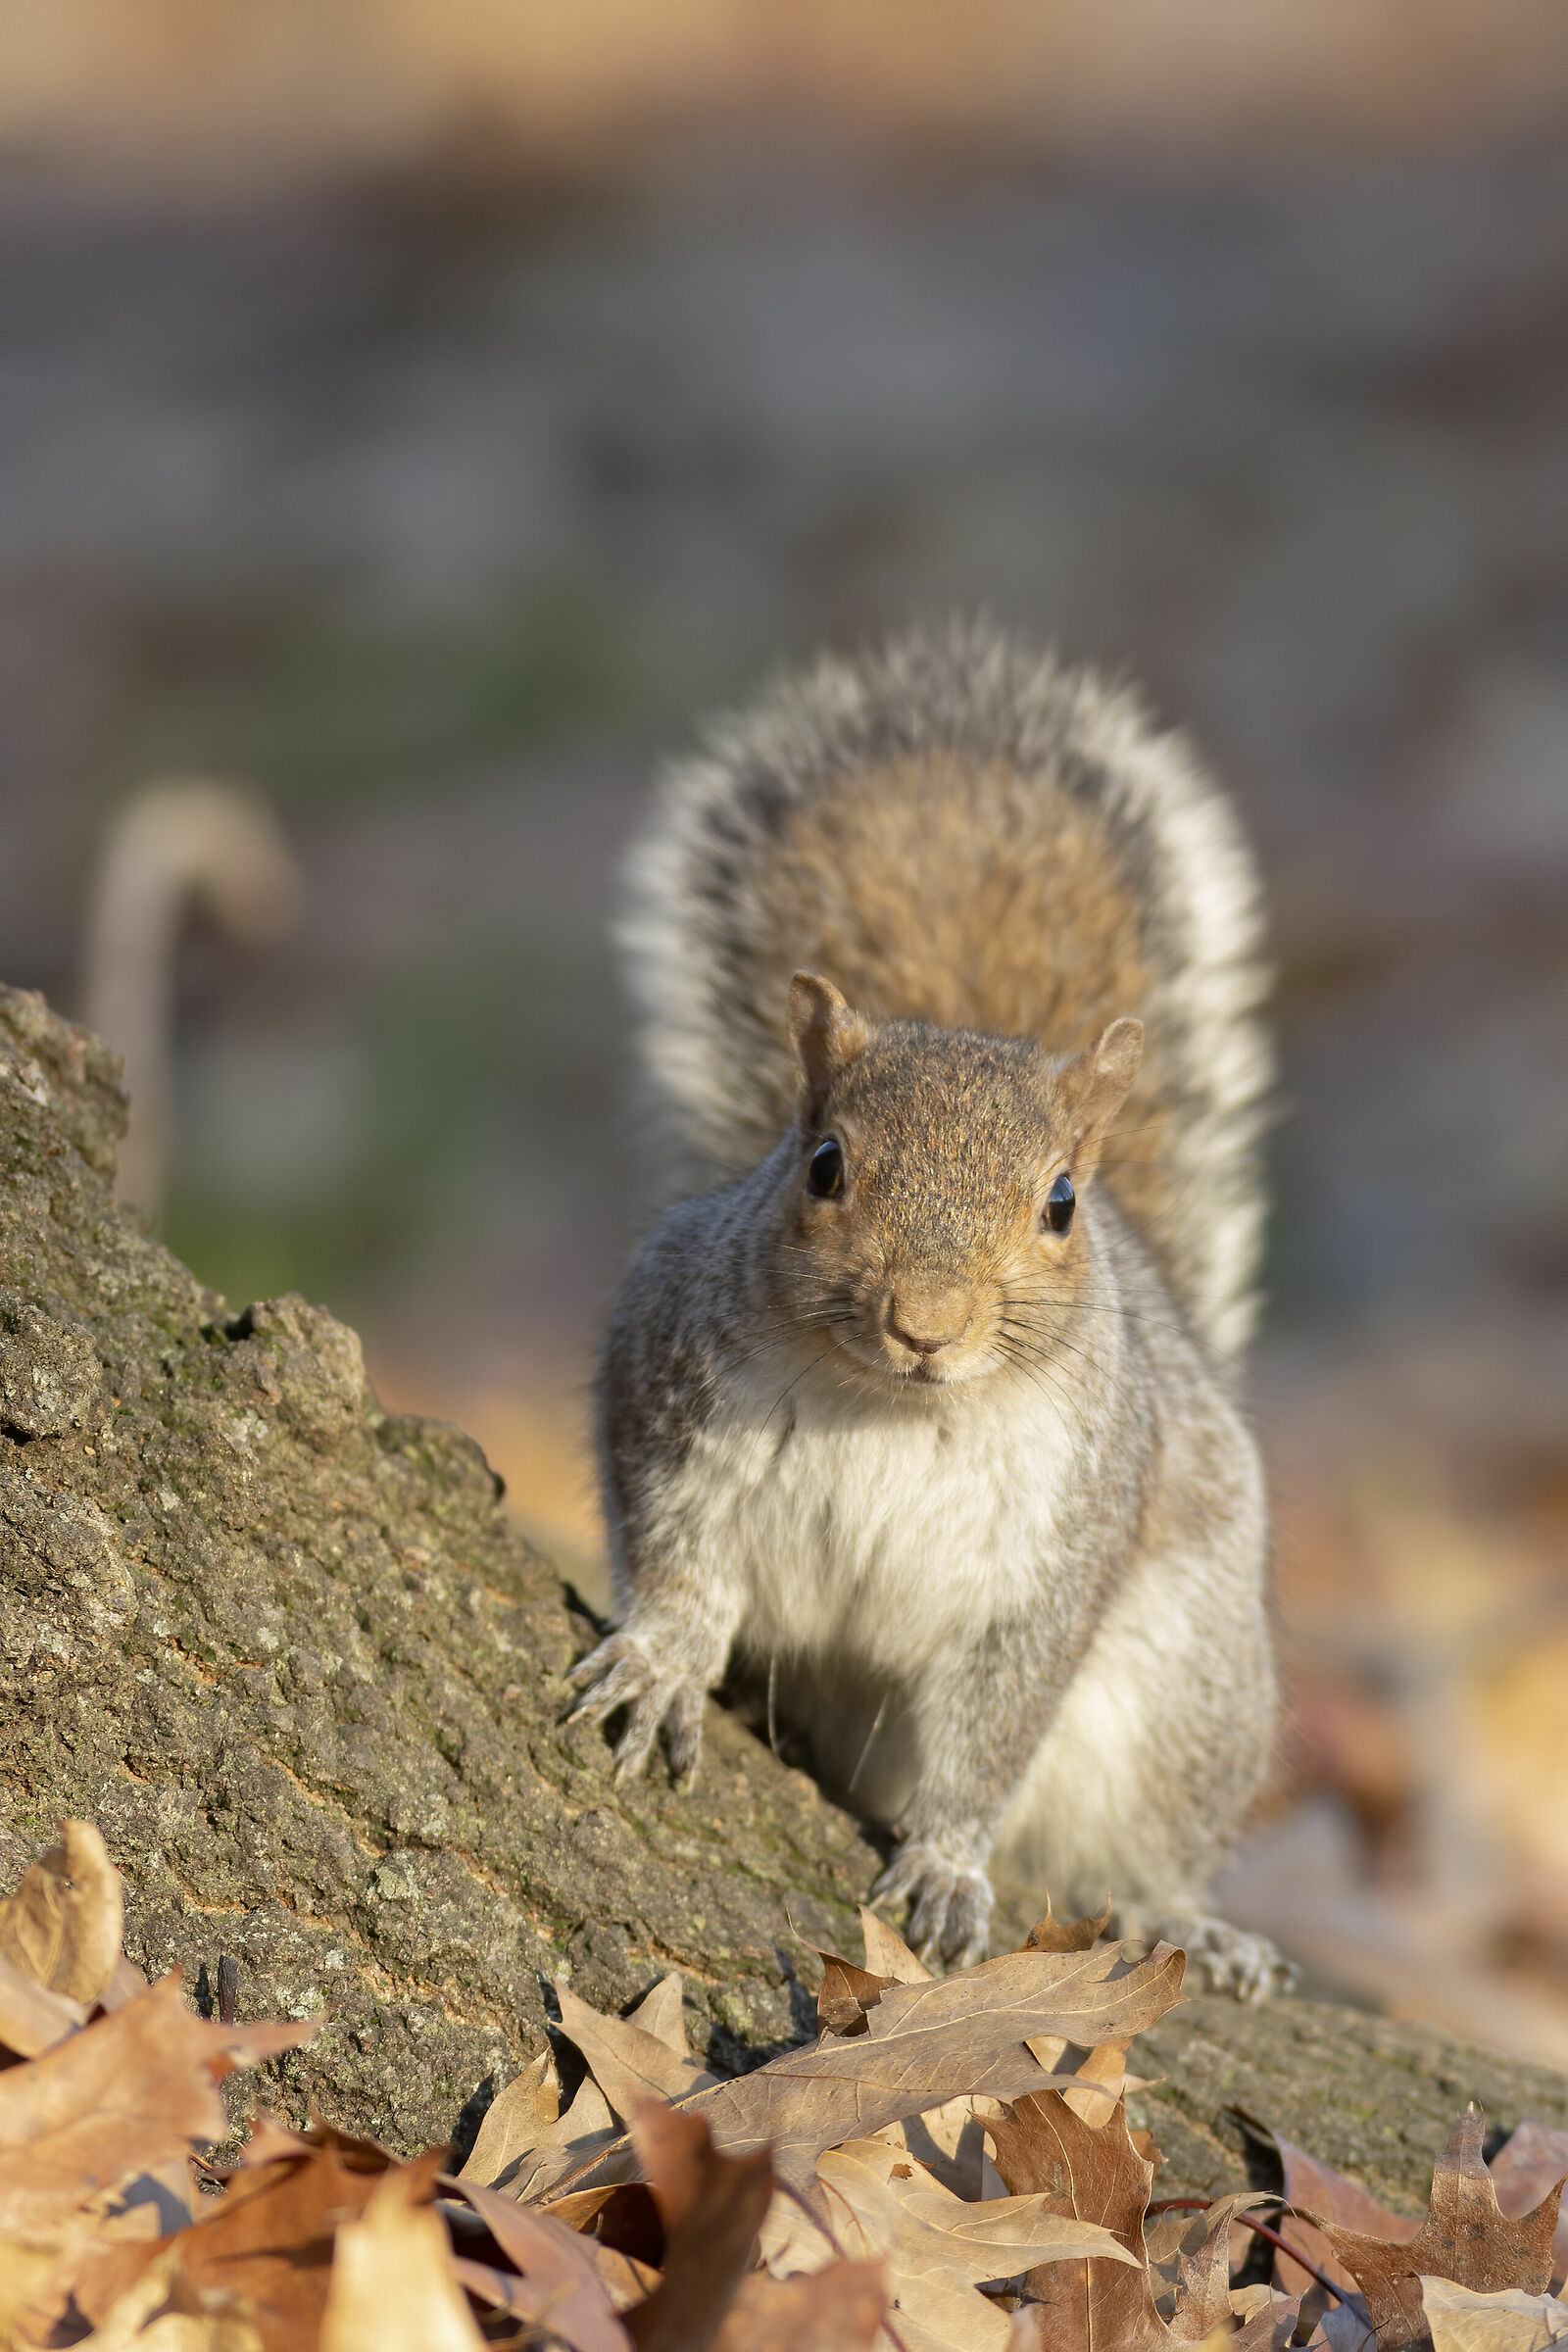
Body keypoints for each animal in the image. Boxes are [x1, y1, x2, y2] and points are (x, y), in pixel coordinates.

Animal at [570, 620, 1289, 1996]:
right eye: (821, 1165)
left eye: (1060, 1204)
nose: (927, 1322)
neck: (889, 1410)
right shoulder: (668, 1388)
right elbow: (677, 1557)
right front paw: (665, 1663)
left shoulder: (1057, 1549)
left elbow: (999, 1720)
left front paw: (950, 1862)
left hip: (1190, 1686)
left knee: (1152, 1838)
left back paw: (1188, 1918)